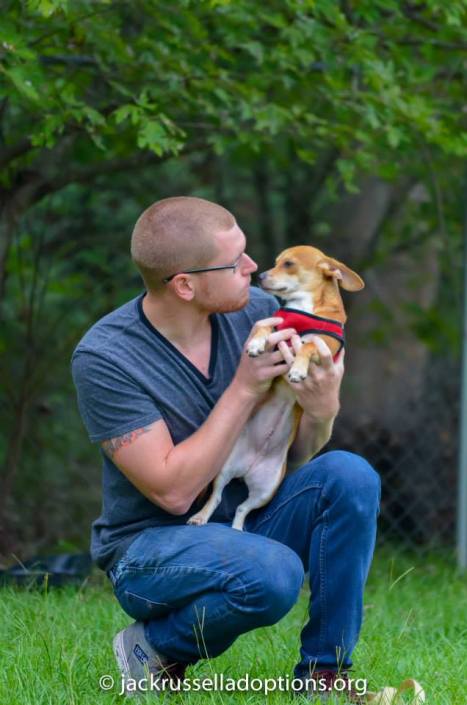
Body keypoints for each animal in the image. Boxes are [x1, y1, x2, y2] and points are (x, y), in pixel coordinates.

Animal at [186, 243, 366, 528]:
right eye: (276, 261)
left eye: (289, 264)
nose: (259, 276)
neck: (305, 307)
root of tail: (248, 469)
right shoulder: (277, 324)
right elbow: (264, 329)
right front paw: (256, 344)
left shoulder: (325, 345)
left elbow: (308, 345)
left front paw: (298, 369)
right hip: (224, 469)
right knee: (217, 497)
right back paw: (202, 517)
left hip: (266, 489)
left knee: (242, 509)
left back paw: (238, 530)